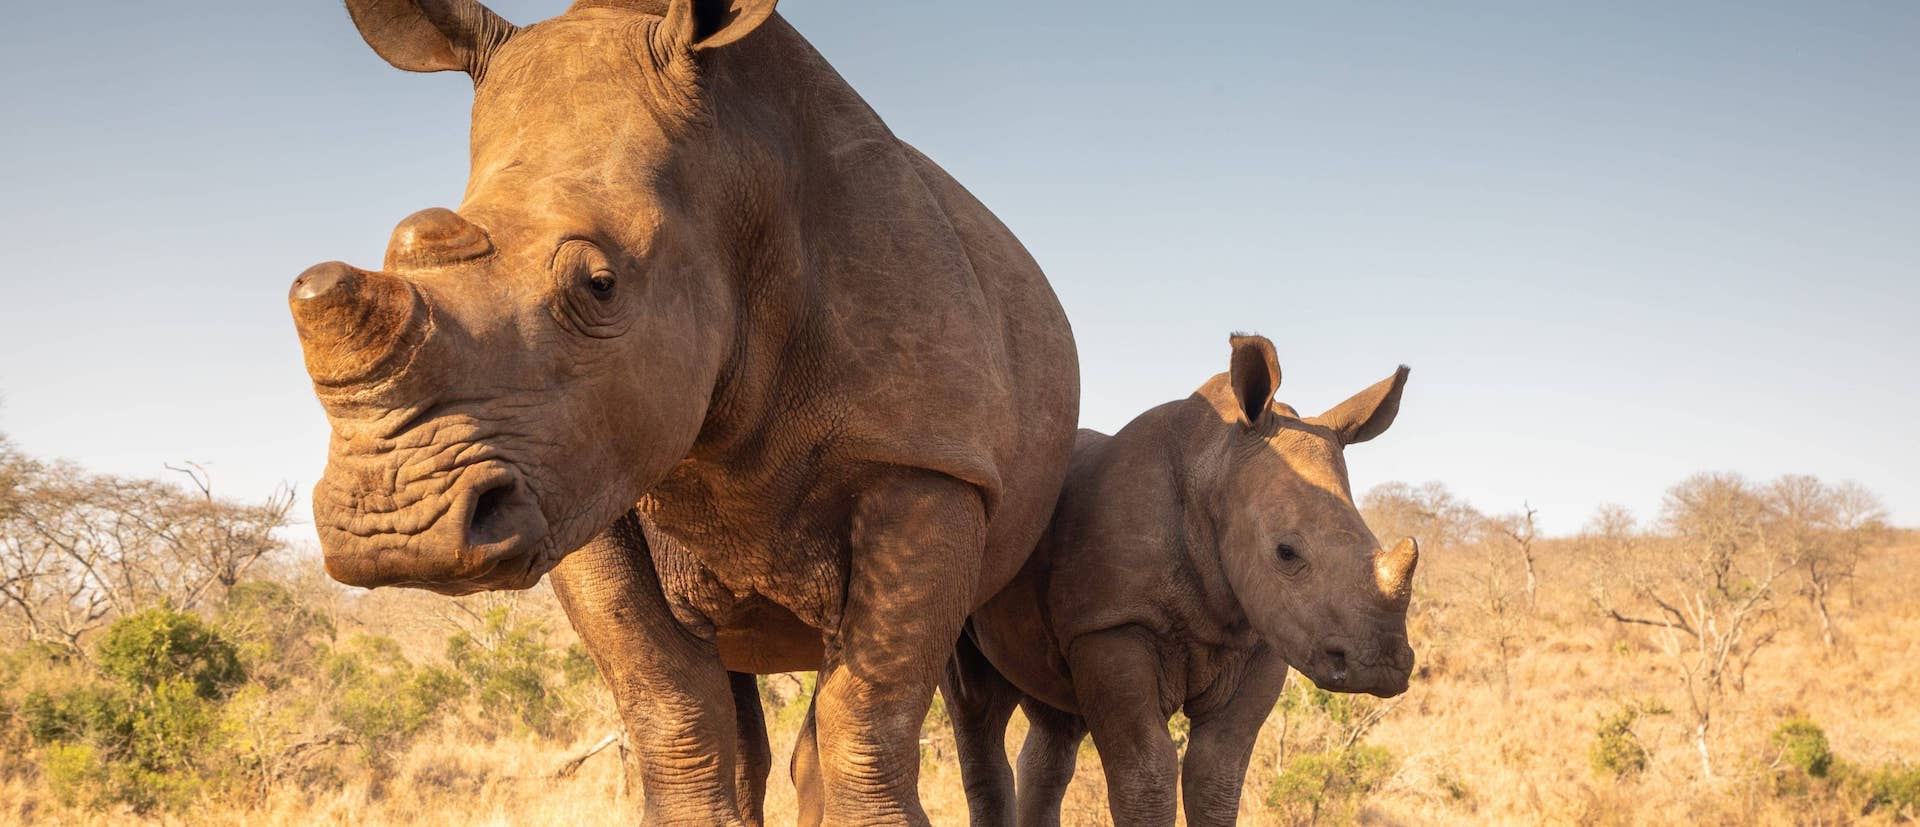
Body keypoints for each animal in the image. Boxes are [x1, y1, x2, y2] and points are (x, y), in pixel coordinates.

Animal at [948, 337, 1420, 827]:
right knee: (976, 704)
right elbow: (1146, 776)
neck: (1213, 466)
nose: (1382, 665)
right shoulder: (1113, 623)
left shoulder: (1262, 638)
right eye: (1286, 553)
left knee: (1053, 716)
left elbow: (1216, 776)